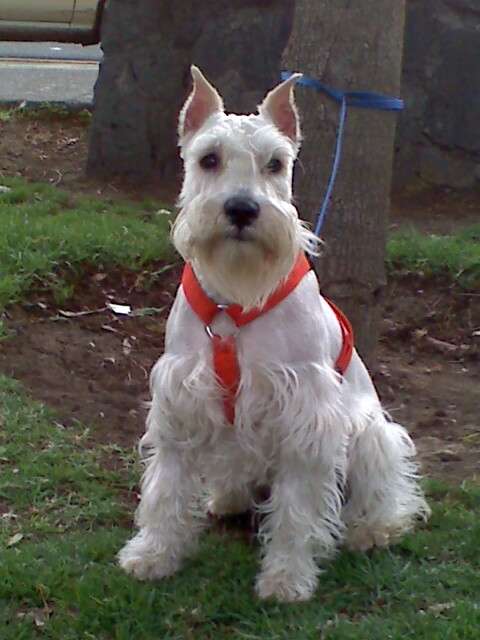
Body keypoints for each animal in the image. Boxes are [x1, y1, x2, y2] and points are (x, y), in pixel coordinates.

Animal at [118, 67, 430, 604]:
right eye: (209, 158)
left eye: (276, 163)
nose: (243, 210)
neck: (235, 300)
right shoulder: (180, 402)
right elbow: (165, 489)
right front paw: (153, 554)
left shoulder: (307, 418)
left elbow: (297, 511)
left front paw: (286, 578)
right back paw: (226, 498)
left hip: (370, 432)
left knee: (385, 488)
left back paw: (375, 528)